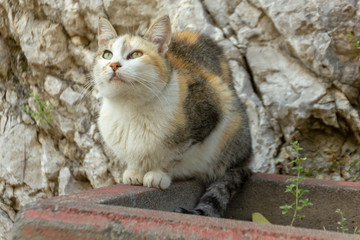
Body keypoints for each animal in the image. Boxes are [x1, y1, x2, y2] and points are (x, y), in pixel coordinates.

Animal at [91, 15, 252, 218]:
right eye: (107, 55)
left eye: (135, 54)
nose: (113, 64)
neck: (130, 107)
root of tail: (247, 158)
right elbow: (134, 156)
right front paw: (135, 172)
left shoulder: (213, 107)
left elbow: (173, 155)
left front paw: (158, 174)